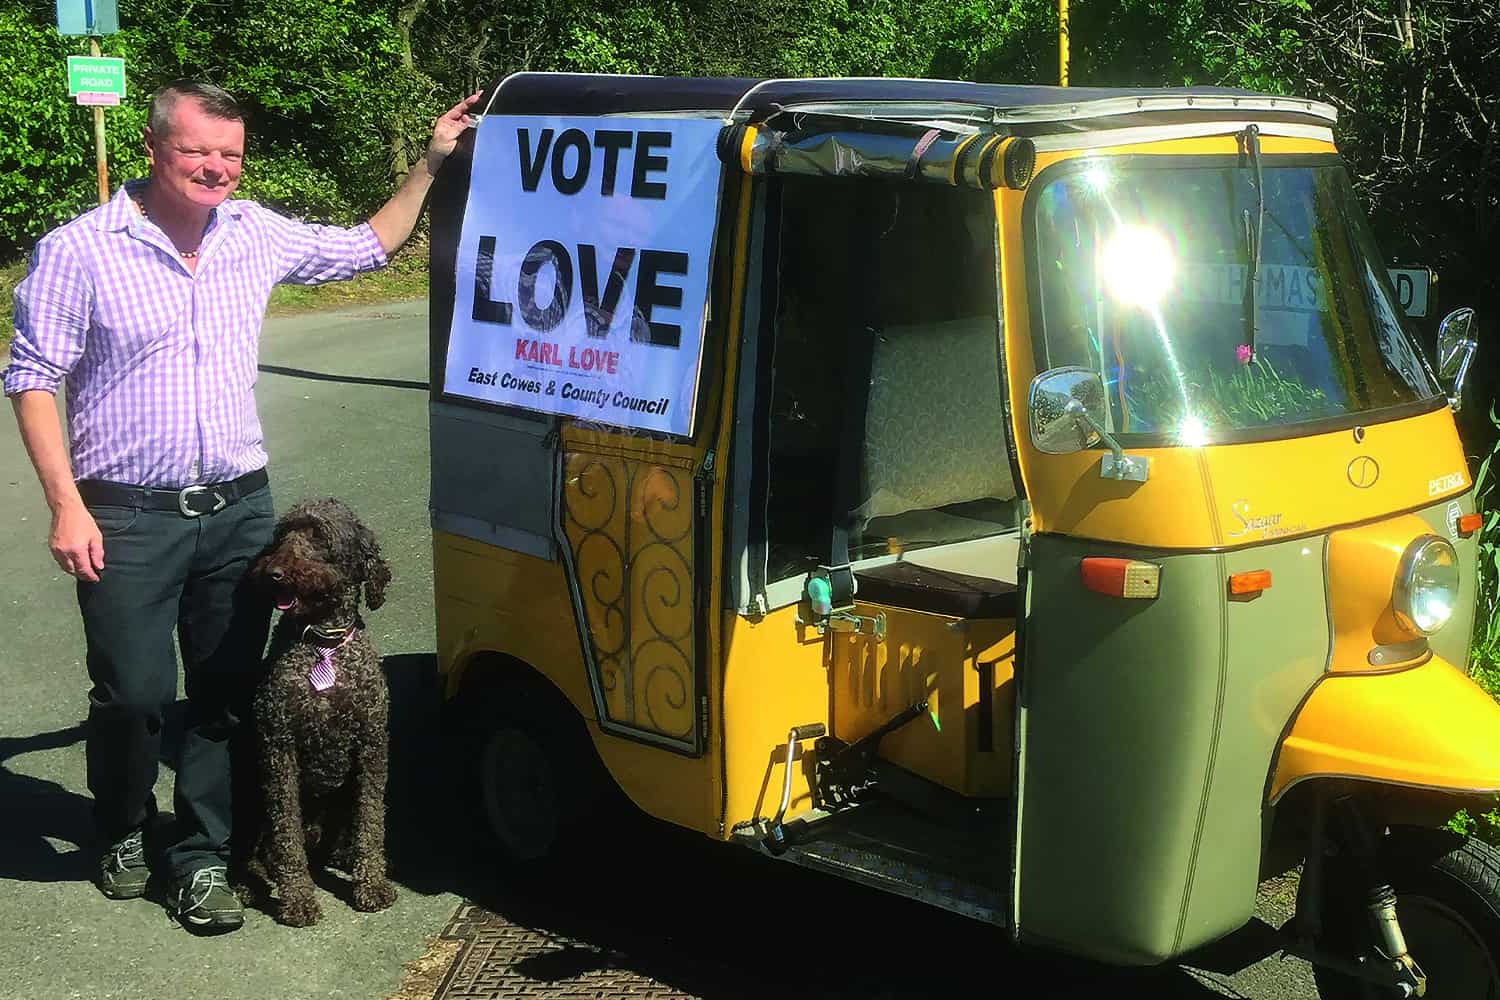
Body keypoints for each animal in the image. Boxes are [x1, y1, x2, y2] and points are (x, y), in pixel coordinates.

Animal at [240, 497, 396, 929]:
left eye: (319, 536)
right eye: (282, 535)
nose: (274, 574)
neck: (323, 645)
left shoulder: (372, 744)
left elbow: (371, 821)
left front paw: (371, 883)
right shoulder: (278, 748)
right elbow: (287, 834)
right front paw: (298, 899)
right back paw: (248, 882)